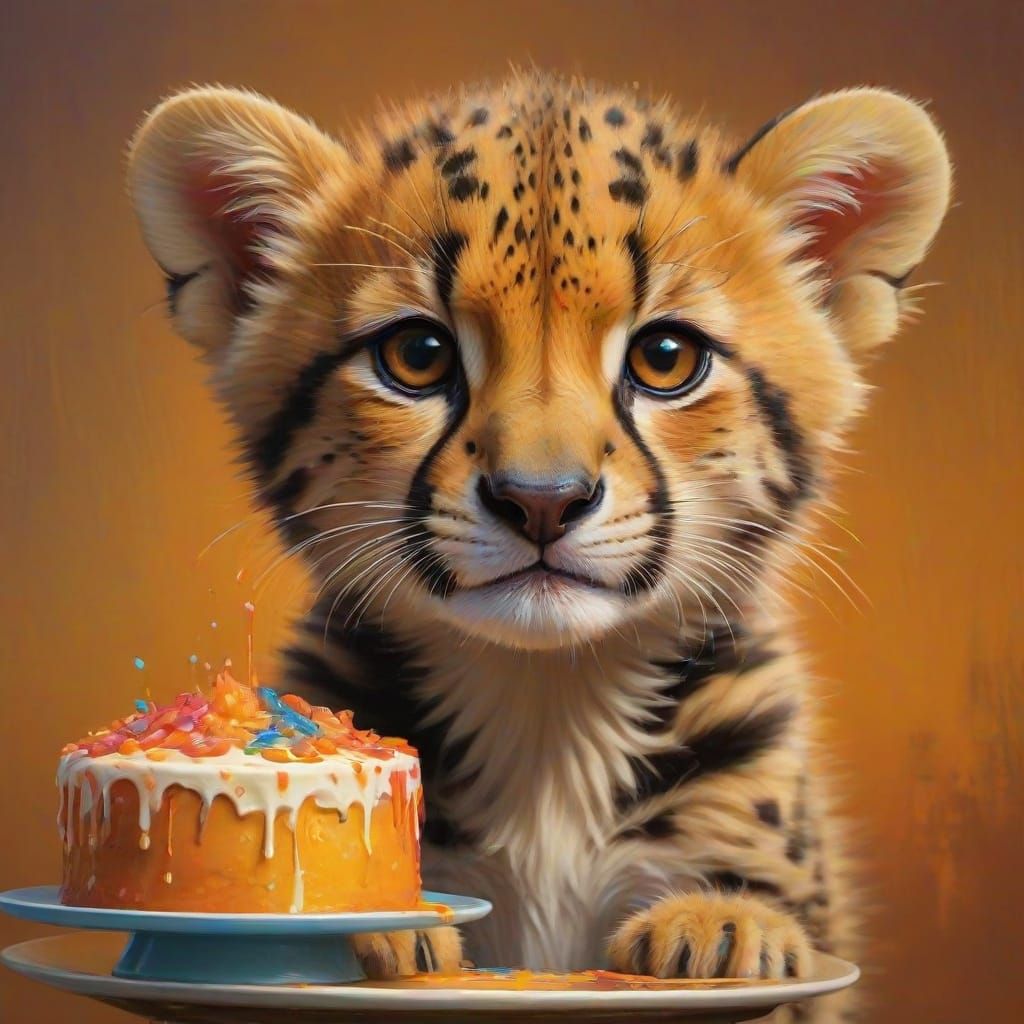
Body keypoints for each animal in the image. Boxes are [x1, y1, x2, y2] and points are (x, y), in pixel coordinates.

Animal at [126, 70, 950, 1020]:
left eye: (668, 357)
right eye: (417, 354)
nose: (542, 501)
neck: (547, 709)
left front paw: (723, 928)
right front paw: (378, 933)